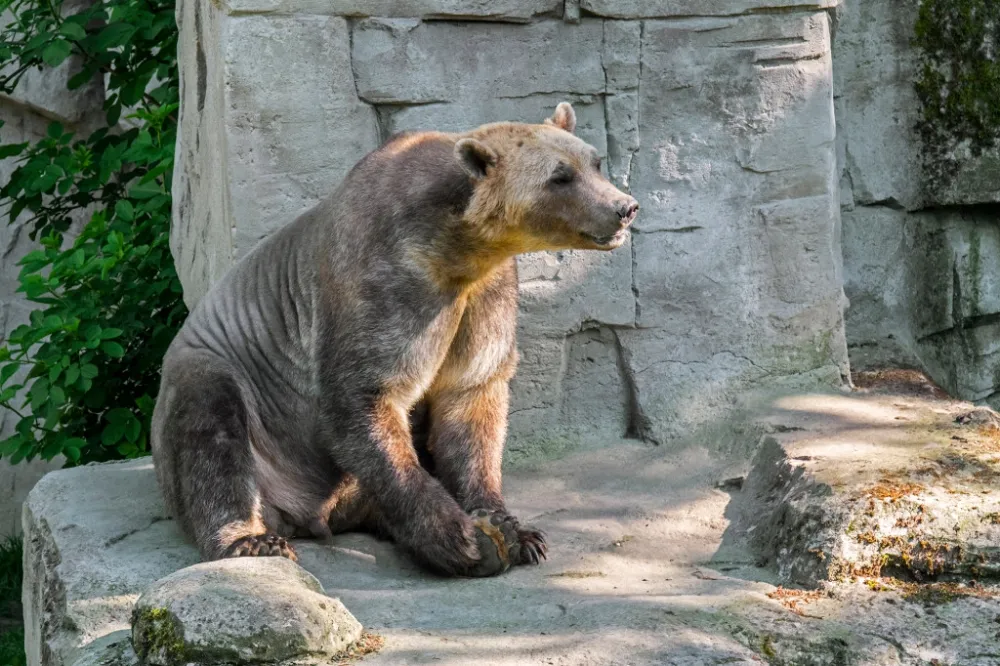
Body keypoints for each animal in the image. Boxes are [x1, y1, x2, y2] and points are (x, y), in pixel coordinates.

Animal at [152, 102, 640, 576]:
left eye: (594, 161)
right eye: (560, 176)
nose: (625, 206)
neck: (456, 247)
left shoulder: (485, 294)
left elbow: (472, 397)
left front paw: (515, 530)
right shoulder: (388, 285)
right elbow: (368, 396)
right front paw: (462, 538)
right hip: (233, 391)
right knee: (212, 430)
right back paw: (251, 538)